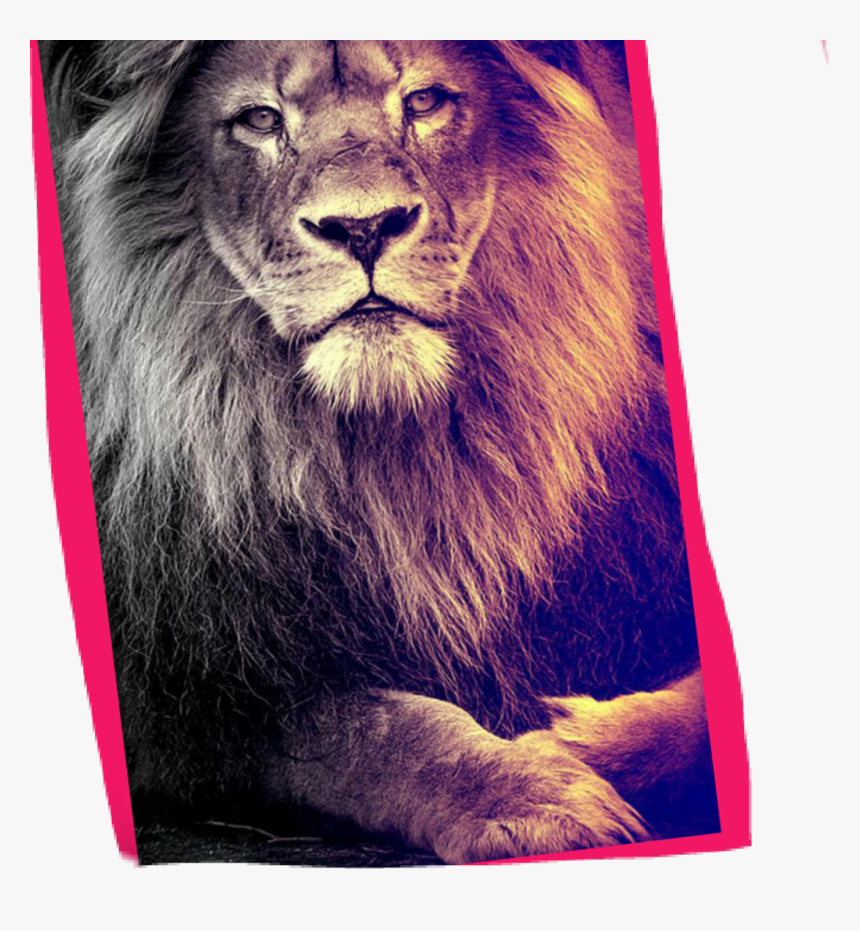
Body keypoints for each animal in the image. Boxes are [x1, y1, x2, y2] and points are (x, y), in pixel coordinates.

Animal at [42, 40, 718, 864]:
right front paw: (530, 795)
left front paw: (575, 741)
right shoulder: (195, 697)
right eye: (259, 120)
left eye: (424, 102)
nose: (364, 228)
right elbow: (372, 727)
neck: (396, 461)